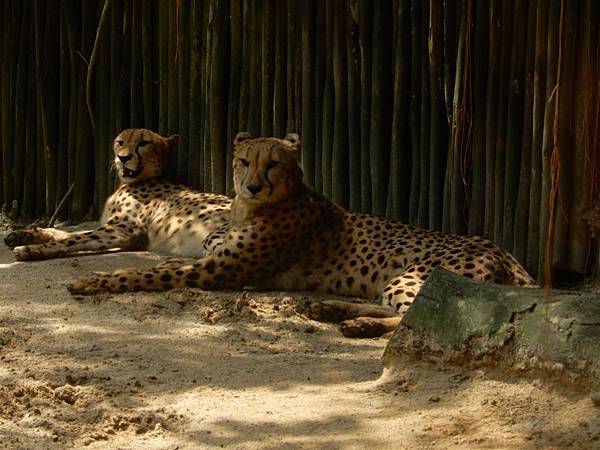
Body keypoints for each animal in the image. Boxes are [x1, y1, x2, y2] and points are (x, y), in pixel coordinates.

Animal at [3, 128, 231, 260]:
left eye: (144, 143)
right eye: (120, 142)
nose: (123, 157)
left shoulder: (123, 230)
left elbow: (73, 238)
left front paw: (31, 249)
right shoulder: (123, 233)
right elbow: (68, 233)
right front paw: (24, 235)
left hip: (213, 237)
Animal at [67, 134, 536, 338]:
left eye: (274, 163)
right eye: (244, 161)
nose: (253, 185)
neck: (248, 208)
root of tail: (509, 254)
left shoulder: (220, 271)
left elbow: (144, 273)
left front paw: (91, 280)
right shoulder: (212, 258)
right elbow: (162, 263)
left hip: (414, 275)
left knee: (415, 319)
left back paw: (357, 323)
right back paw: (331, 310)